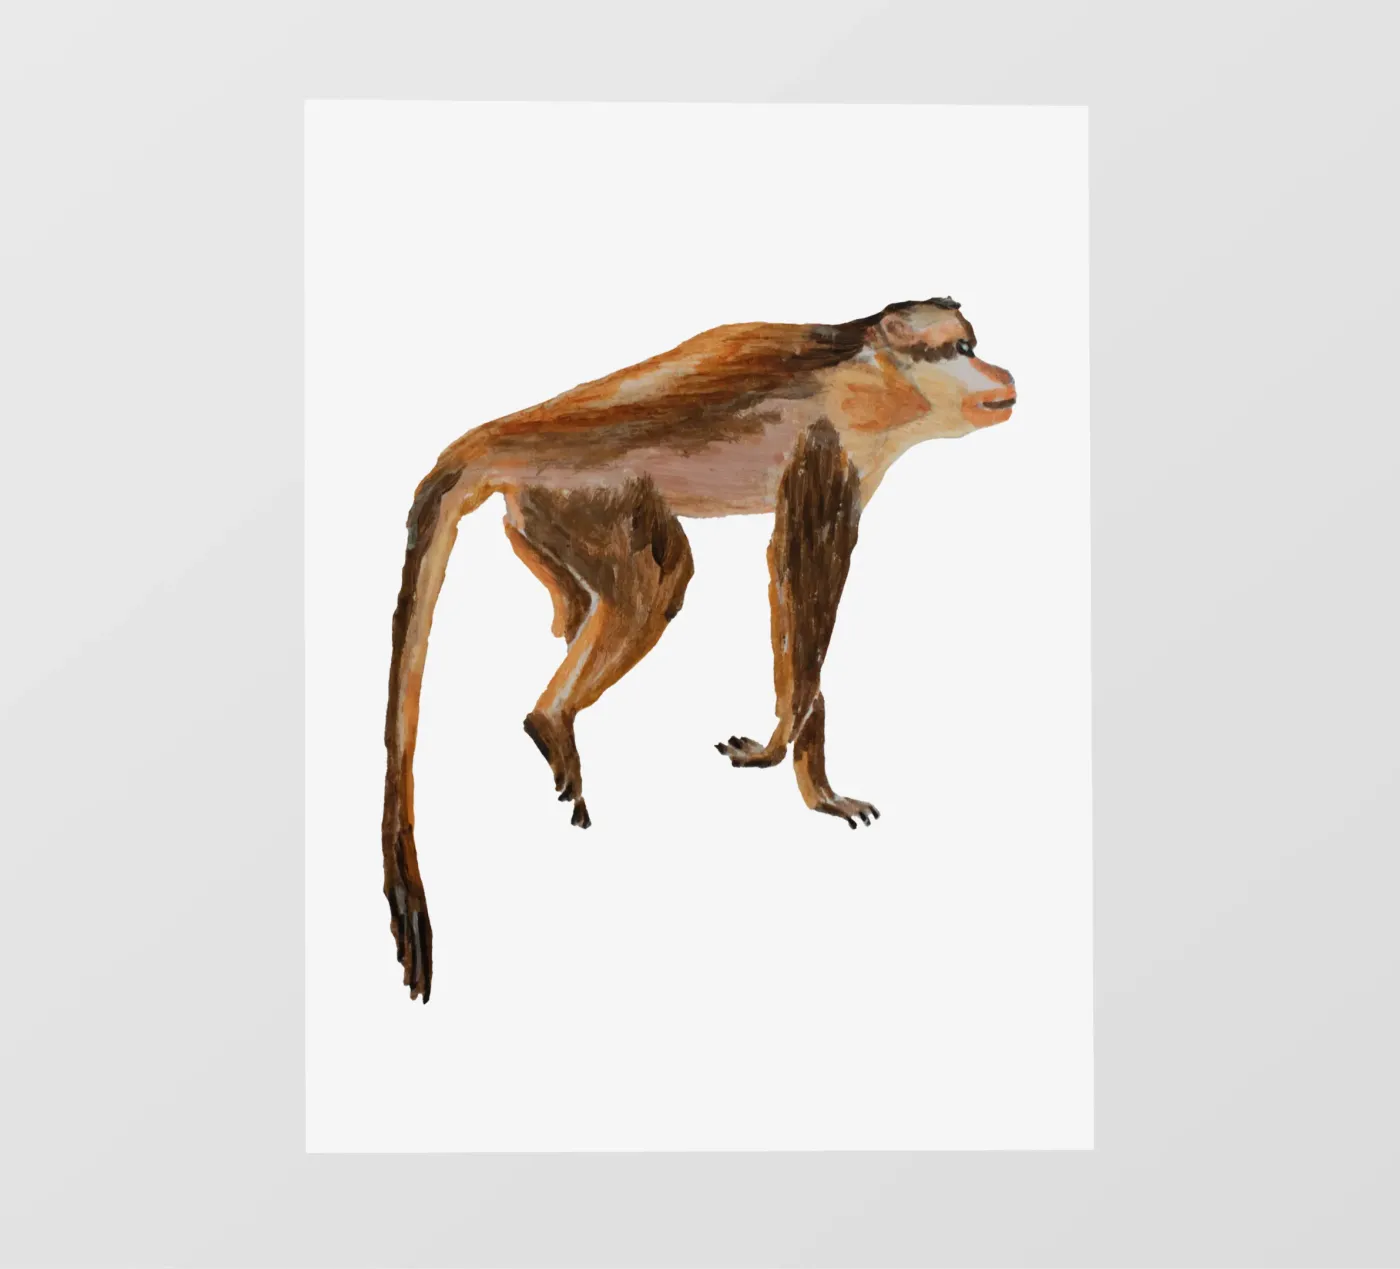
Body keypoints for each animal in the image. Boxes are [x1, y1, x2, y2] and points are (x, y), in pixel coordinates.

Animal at [382, 295, 1017, 1000]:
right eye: (963, 349)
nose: (1000, 373)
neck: (872, 368)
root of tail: (498, 437)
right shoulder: (829, 440)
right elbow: (799, 573)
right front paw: (777, 748)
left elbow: (796, 603)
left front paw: (816, 784)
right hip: (584, 487)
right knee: (659, 580)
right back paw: (549, 718)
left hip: (541, 511)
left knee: (594, 596)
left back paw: (560, 685)